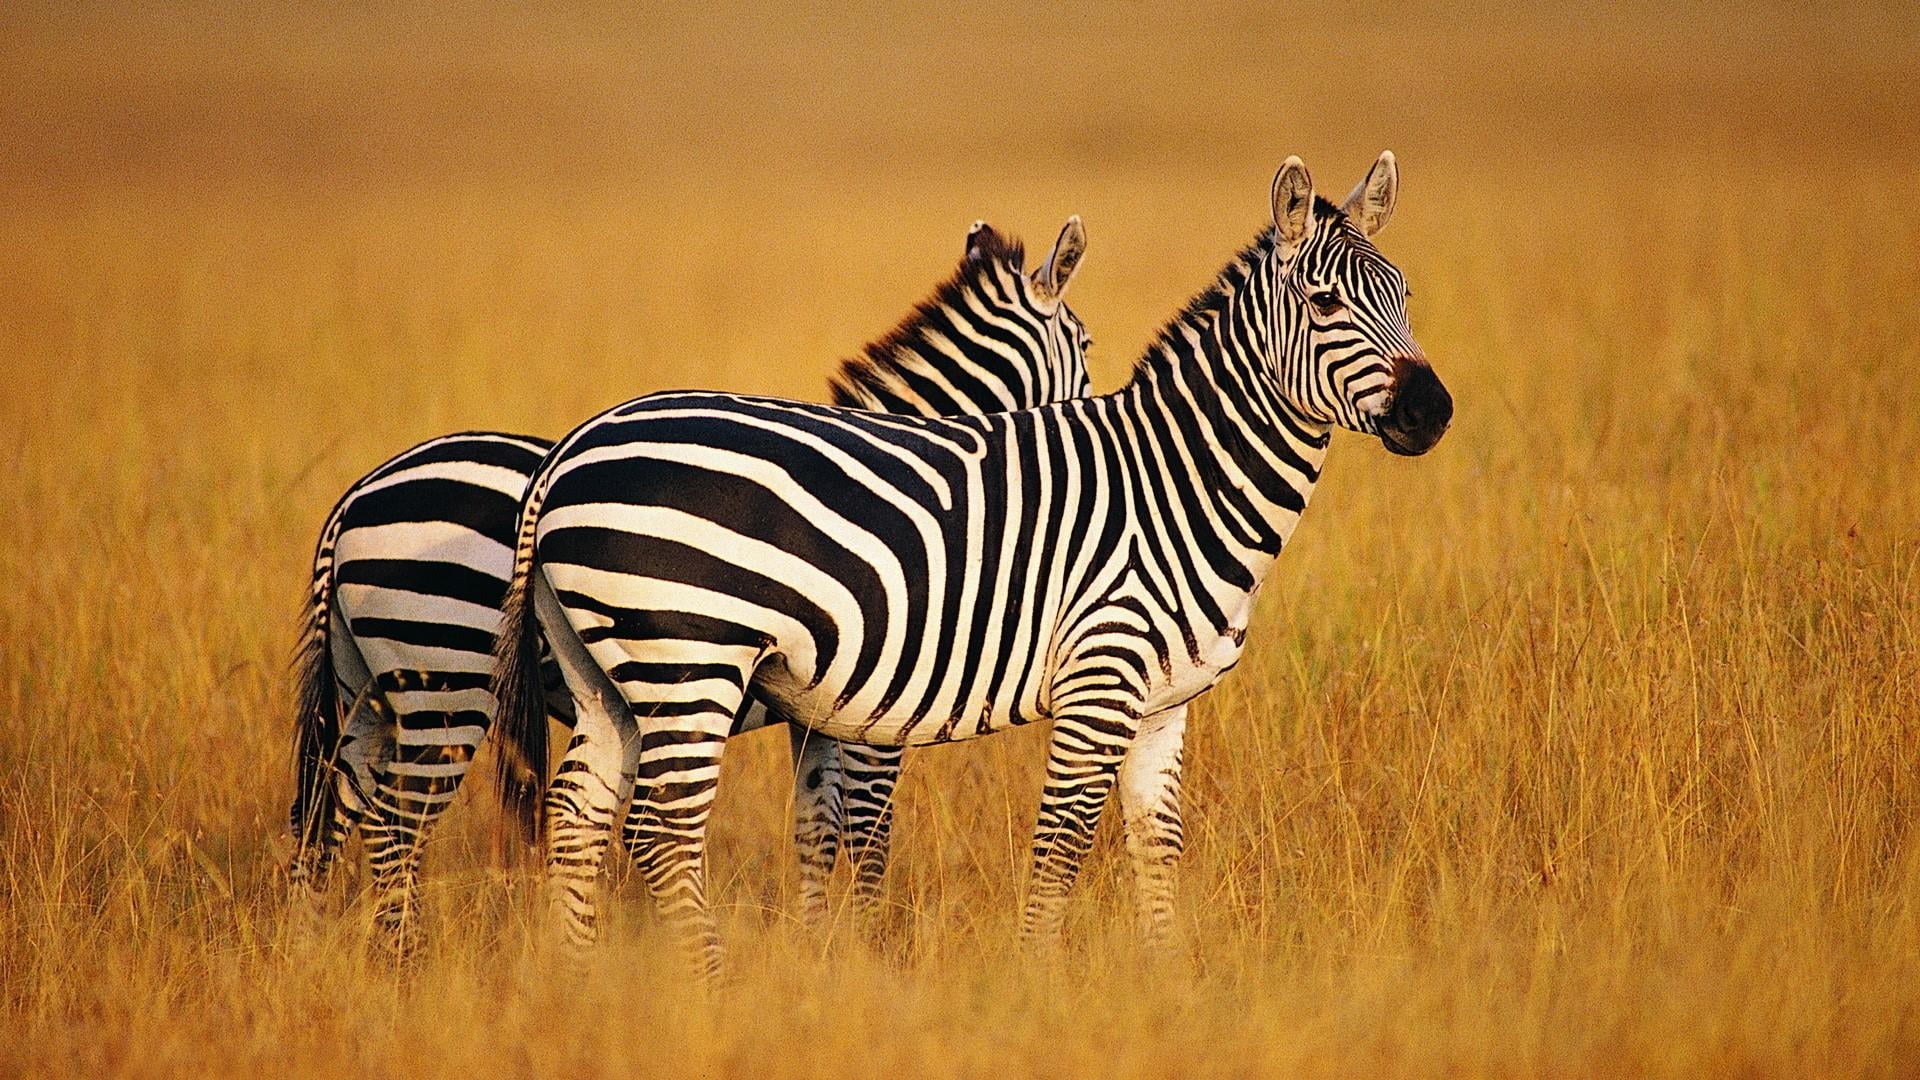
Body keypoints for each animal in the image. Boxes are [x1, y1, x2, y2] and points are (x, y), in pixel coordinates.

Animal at [287, 217, 1094, 953]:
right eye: (1085, 346)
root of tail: (353, 501)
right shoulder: (869, 704)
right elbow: (866, 829)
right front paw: (864, 946)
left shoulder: (818, 713)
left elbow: (816, 827)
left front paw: (815, 947)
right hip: (446, 677)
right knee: (395, 822)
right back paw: (405, 957)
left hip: (370, 686)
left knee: (331, 808)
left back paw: (318, 952)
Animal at [491, 151, 1453, 980]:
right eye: (1323, 303)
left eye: (1406, 295)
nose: (1433, 410)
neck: (1174, 481)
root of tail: (571, 448)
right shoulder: (1086, 684)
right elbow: (1051, 844)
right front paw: (1029, 985)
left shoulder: (1162, 705)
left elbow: (1157, 847)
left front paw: (1165, 983)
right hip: (687, 659)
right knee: (661, 830)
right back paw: (711, 986)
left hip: (608, 677)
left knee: (578, 816)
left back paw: (581, 980)